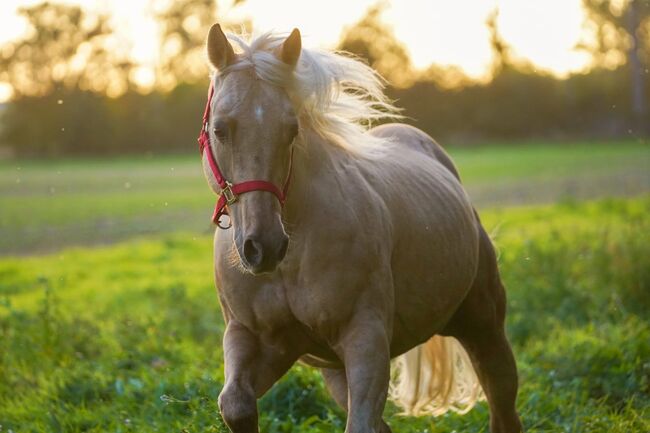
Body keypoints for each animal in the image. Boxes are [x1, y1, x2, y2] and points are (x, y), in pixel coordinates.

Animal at [197, 23, 520, 432]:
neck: (293, 257)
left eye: (291, 130)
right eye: (220, 128)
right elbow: (235, 404)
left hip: (484, 327)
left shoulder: (365, 339)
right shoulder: (255, 339)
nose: (264, 246)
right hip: (337, 372)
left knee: (503, 402)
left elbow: (361, 423)